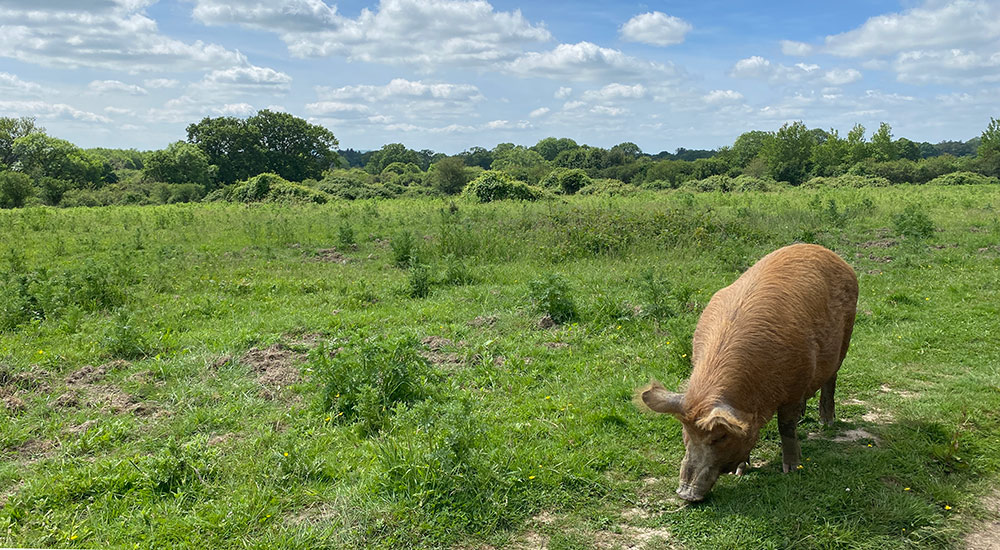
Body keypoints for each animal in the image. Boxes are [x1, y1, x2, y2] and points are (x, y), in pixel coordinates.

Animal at [636, 244, 856, 502]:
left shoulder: (796, 383)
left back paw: (827, 423)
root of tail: (828, 253)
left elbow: (786, 426)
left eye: (720, 437)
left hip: (846, 337)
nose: (685, 493)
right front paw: (740, 472)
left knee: (831, 379)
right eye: (686, 431)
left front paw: (791, 469)